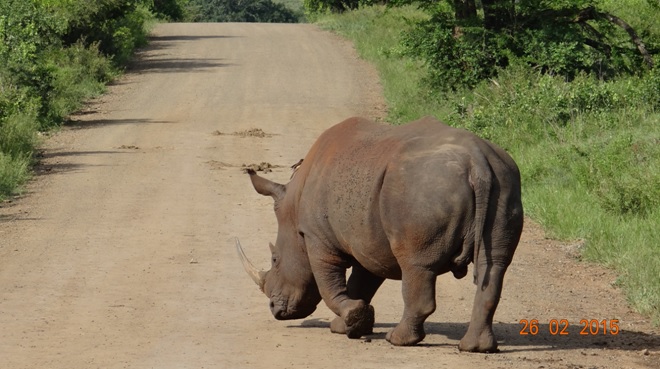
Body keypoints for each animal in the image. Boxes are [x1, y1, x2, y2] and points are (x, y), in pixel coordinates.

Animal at [238, 116, 524, 352]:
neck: (294, 202)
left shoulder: (317, 238)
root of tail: (476, 161)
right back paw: (476, 348)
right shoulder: (369, 240)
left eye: (275, 260)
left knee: (417, 265)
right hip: (504, 181)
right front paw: (348, 324)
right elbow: (362, 281)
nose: (275, 310)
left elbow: (329, 282)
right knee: (494, 266)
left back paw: (397, 340)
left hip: (422, 190)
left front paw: (351, 318)